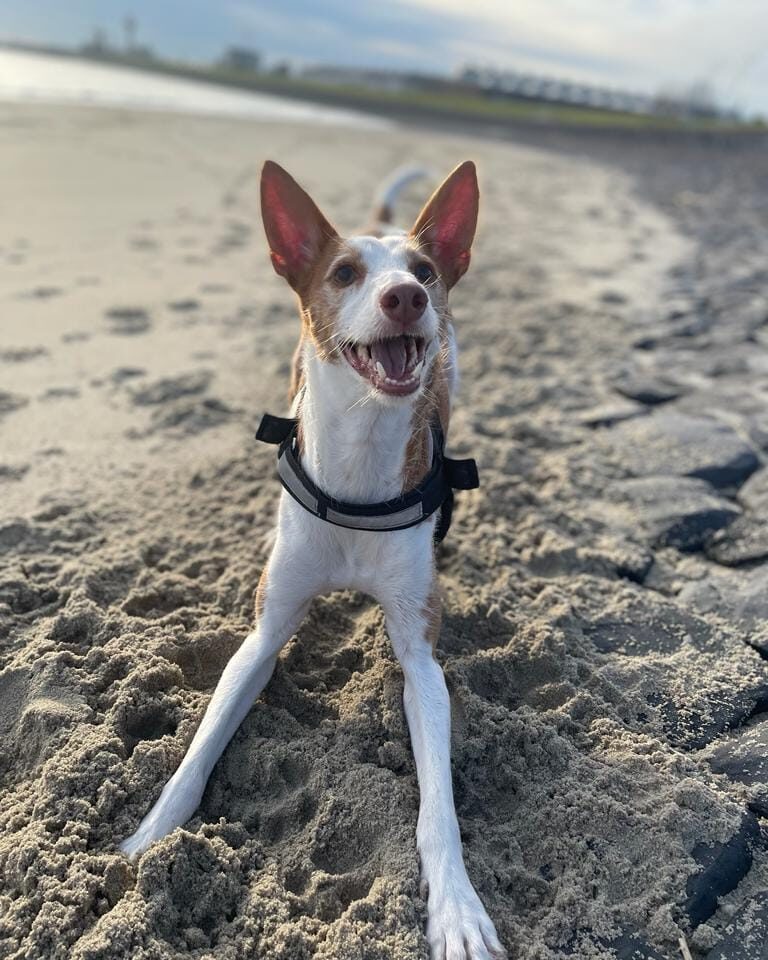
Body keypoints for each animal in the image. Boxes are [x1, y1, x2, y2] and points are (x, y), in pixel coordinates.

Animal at [120, 161, 504, 956]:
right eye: (344, 273)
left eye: (424, 271)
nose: (407, 296)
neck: (358, 466)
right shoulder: (262, 636)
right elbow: (198, 751)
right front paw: (148, 842)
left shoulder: (421, 661)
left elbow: (439, 809)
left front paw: (457, 908)